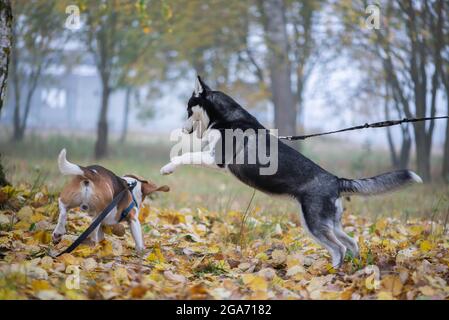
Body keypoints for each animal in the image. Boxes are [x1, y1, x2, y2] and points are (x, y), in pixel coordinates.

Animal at [160, 75, 420, 268]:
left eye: (187, 110)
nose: (182, 130)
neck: (226, 118)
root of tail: (336, 180)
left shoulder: (218, 160)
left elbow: (185, 156)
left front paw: (168, 167)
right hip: (330, 222)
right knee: (352, 243)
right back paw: (353, 269)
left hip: (314, 222)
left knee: (339, 248)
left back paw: (332, 272)